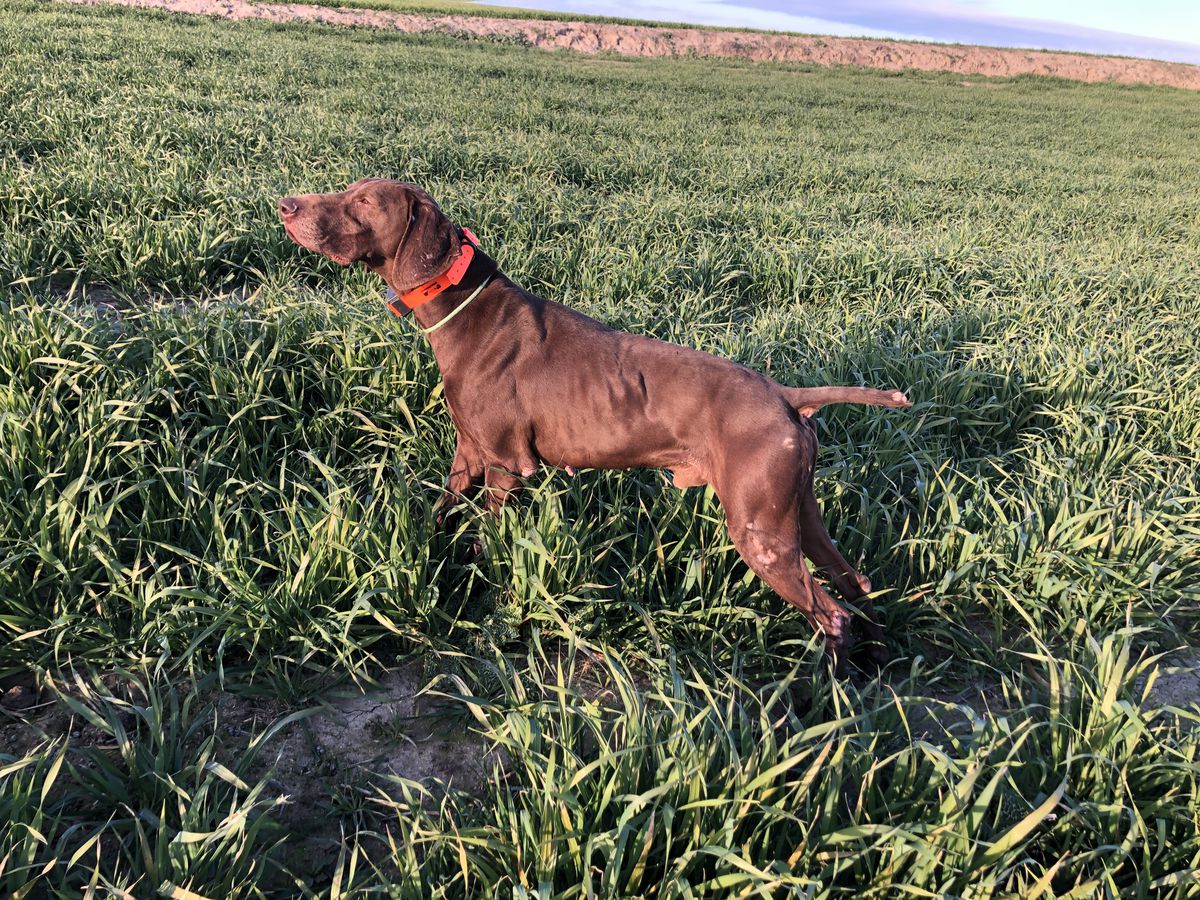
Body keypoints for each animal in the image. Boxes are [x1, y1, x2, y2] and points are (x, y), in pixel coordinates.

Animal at [278, 177, 907, 672]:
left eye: (363, 200)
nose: (285, 205)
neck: (464, 309)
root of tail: (785, 395)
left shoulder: (506, 466)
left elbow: (486, 541)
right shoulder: (468, 456)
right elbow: (442, 511)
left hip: (762, 534)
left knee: (831, 615)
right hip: (796, 513)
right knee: (855, 585)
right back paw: (874, 667)